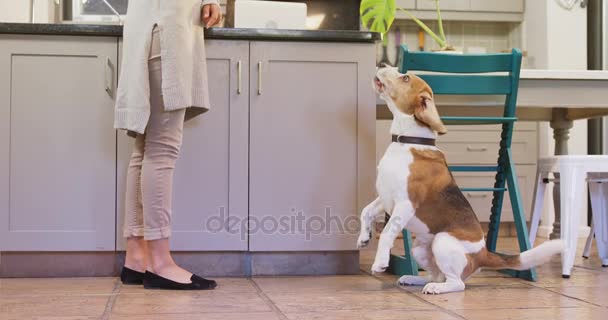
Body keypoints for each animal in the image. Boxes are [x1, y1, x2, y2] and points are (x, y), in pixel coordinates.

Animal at [358, 65, 564, 296]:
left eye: (405, 78)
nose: (382, 64)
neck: (407, 141)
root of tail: (484, 253)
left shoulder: (405, 203)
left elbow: (387, 232)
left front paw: (380, 262)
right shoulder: (384, 197)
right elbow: (365, 212)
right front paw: (363, 237)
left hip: (442, 241)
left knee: (457, 283)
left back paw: (436, 288)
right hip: (421, 248)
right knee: (437, 274)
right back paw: (416, 279)